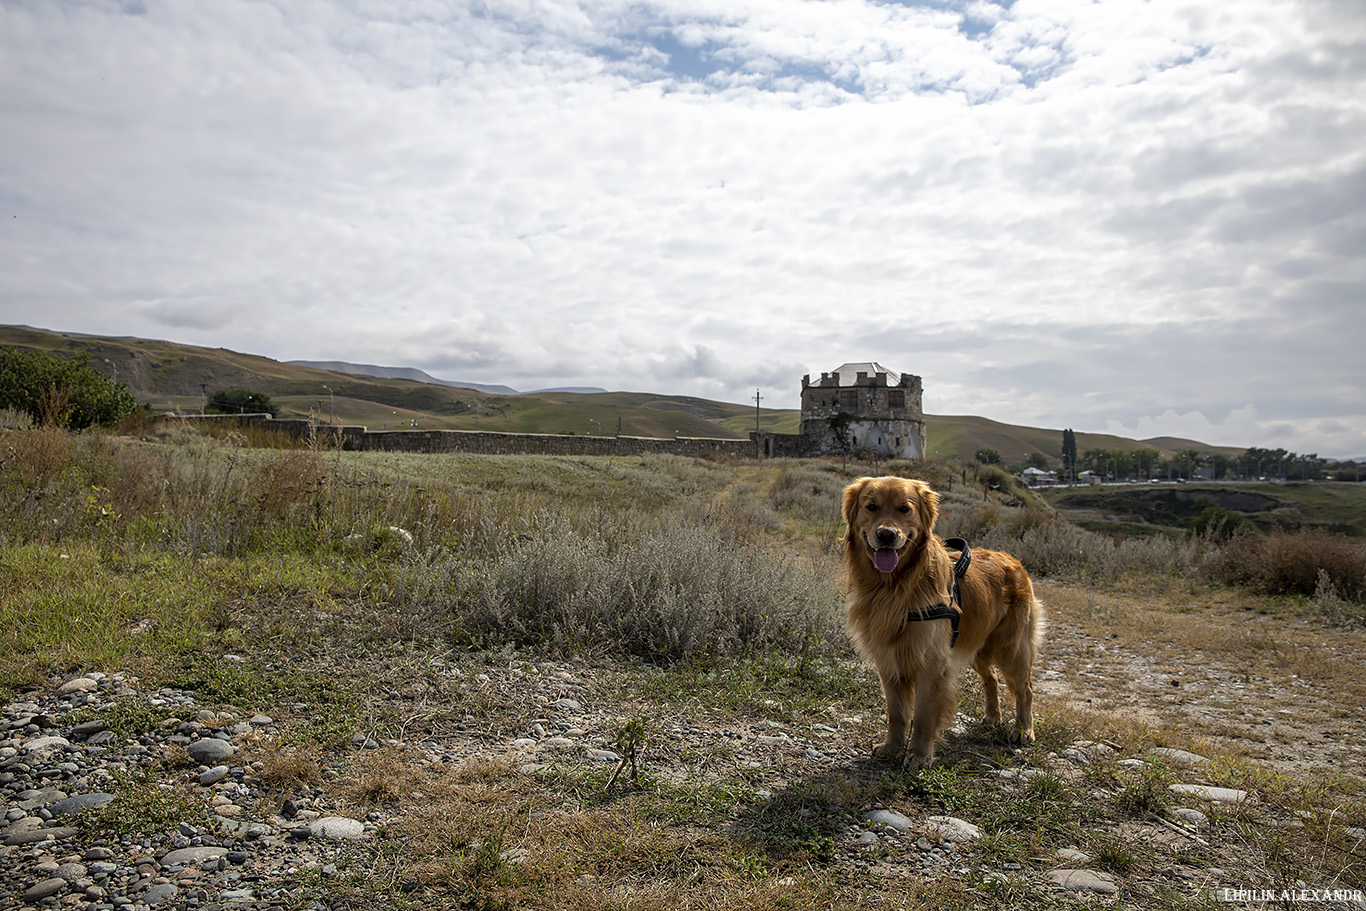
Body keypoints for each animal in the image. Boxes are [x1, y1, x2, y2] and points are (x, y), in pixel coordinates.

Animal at [835, 478, 1038, 770]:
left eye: (904, 509)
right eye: (871, 507)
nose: (886, 535)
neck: (895, 587)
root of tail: (1013, 559)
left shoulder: (931, 662)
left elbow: (922, 715)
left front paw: (919, 755)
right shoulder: (889, 660)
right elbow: (897, 712)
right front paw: (892, 747)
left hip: (1012, 647)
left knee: (1025, 688)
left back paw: (1023, 729)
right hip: (975, 645)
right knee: (991, 678)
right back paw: (992, 718)